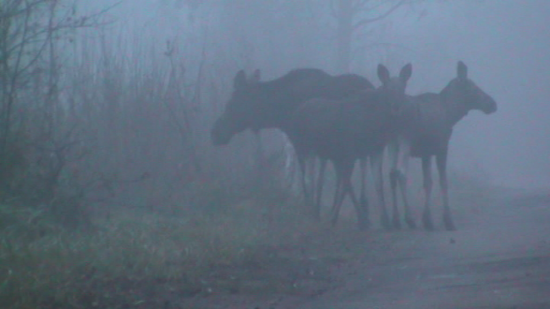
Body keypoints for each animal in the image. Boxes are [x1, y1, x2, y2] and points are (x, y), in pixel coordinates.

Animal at [288, 63, 414, 229]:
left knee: (309, 178)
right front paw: (348, 218)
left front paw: (385, 221)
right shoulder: (350, 152)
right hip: (305, 148)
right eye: (388, 88)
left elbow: (377, 183)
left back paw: (312, 210)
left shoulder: (373, 150)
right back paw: (311, 211)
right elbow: (346, 184)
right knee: (309, 179)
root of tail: (295, 114)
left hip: (313, 152)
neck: (377, 123)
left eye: (403, 87)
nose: (396, 107)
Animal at [388, 61, 500, 230]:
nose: (492, 104)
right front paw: (447, 219)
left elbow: (428, 182)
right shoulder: (442, 148)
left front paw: (427, 219)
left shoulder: (426, 153)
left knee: (391, 174)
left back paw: (395, 219)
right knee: (401, 173)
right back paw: (409, 218)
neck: (451, 113)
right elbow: (443, 182)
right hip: (405, 140)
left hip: (391, 144)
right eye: (473, 87)